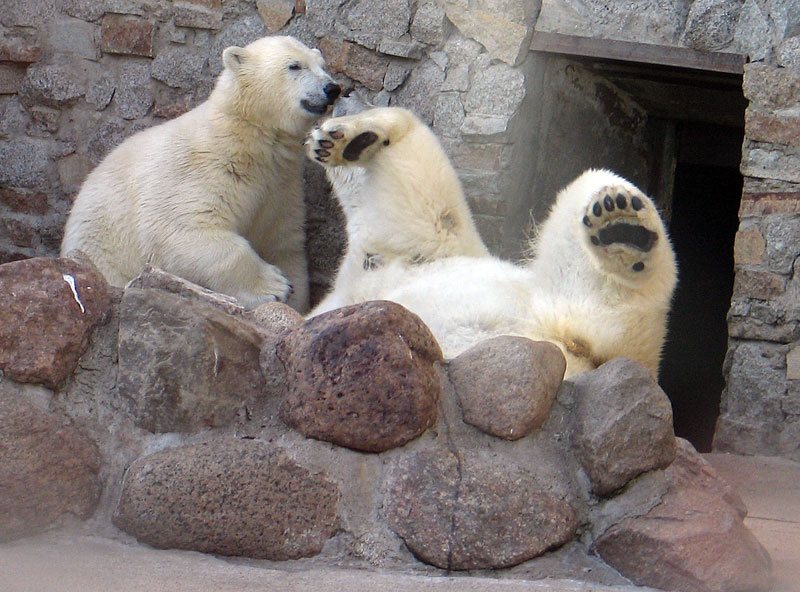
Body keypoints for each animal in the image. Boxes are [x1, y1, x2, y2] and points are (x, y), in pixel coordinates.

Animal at [60, 34, 340, 310]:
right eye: (294, 66)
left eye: (322, 65)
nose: (332, 88)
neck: (247, 139)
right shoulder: (201, 169)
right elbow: (183, 228)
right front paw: (274, 285)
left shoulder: (280, 185)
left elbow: (283, 243)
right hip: (102, 244)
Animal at [306, 103, 676, 376]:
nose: (336, 97)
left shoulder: (416, 245)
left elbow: (426, 186)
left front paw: (347, 138)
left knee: (593, 188)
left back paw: (624, 229)